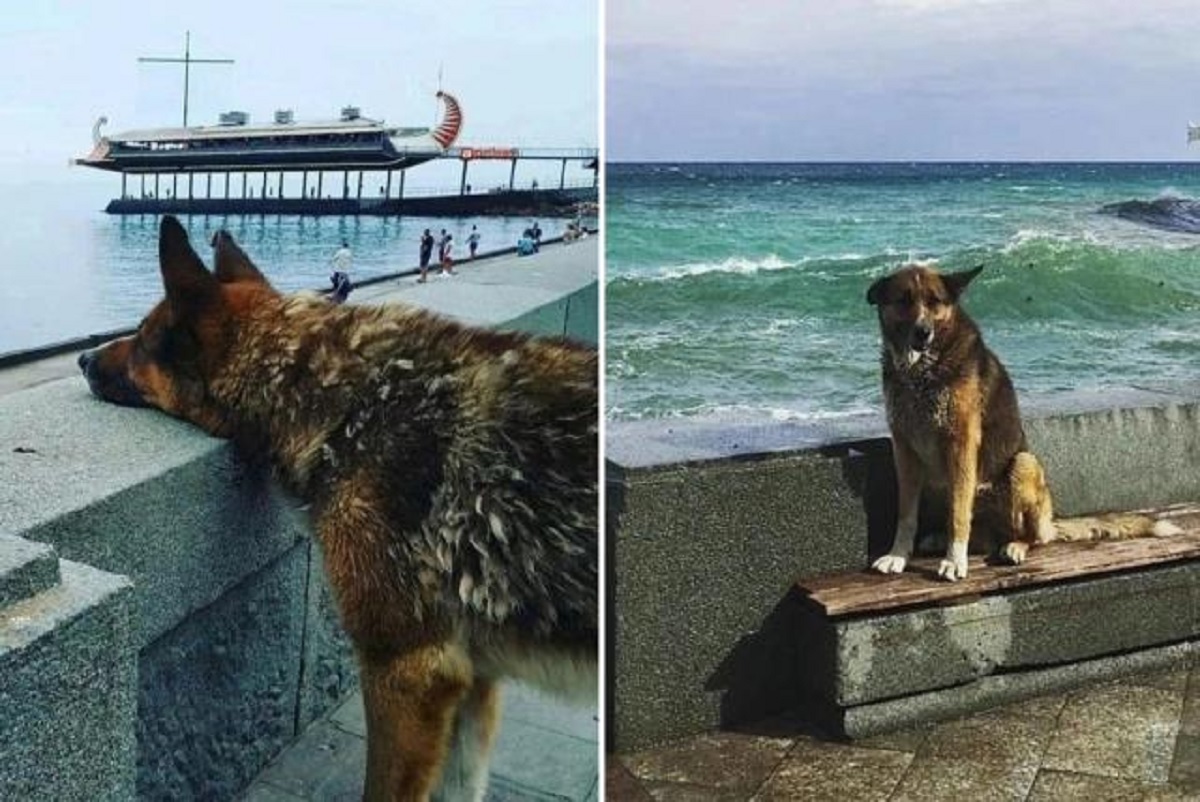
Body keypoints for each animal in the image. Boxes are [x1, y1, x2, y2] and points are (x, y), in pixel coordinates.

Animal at [868, 262, 1176, 583]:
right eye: (903, 300)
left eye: (934, 301)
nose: (923, 333)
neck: (922, 371)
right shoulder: (904, 449)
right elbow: (906, 515)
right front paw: (898, 555)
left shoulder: (961, 442)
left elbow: (959, 514)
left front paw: (954, 560)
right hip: (940, 485)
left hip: (1024, 464)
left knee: (1032, 536)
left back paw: (1014, 546)